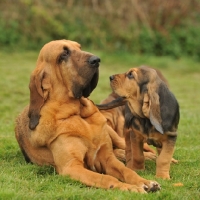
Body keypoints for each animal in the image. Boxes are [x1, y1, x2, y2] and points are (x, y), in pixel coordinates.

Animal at [14, 40, 161, 192]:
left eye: (79, 47)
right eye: (64, 54)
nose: (96, 60)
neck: (79, 113)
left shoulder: (107, 158)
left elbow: (127, 171)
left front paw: (144, 182)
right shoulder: (72, 167)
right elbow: (107, 178)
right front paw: (130, 188)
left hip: (115, 136)